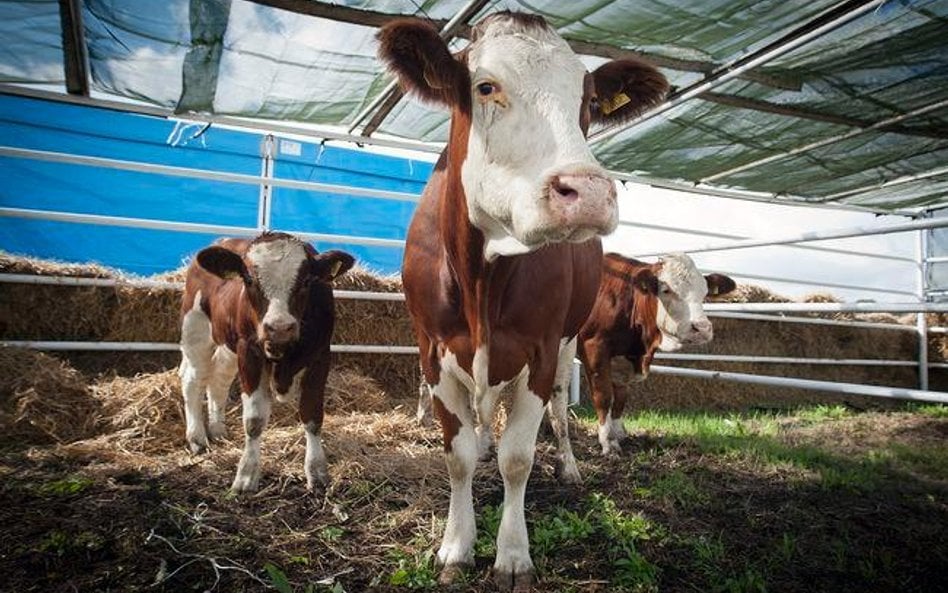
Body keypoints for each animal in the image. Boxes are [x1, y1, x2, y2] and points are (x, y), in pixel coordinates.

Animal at [179, 231, 356, 490]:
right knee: (193, 380)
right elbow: (254, 420)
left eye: (306, 281)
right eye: (249, 280)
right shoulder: (249, 352)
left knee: (219, 379)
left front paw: (317, 472)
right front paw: (246, 475)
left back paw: (218, 429)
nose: (279, 327)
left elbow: (312, 415)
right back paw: (197, 438)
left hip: (227, 346)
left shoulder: (321, 355)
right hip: (196, 328)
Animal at [378, 11, 668, 588]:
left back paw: (570, 465)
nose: (589, 192)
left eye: (587, 101)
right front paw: (455, 547)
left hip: (568, 343)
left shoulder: (539, 349)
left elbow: (518, 457)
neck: (481, 279)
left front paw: (512, 555)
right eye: (486, 86)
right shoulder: (433, 352)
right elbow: (459, 455)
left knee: (557, 409)